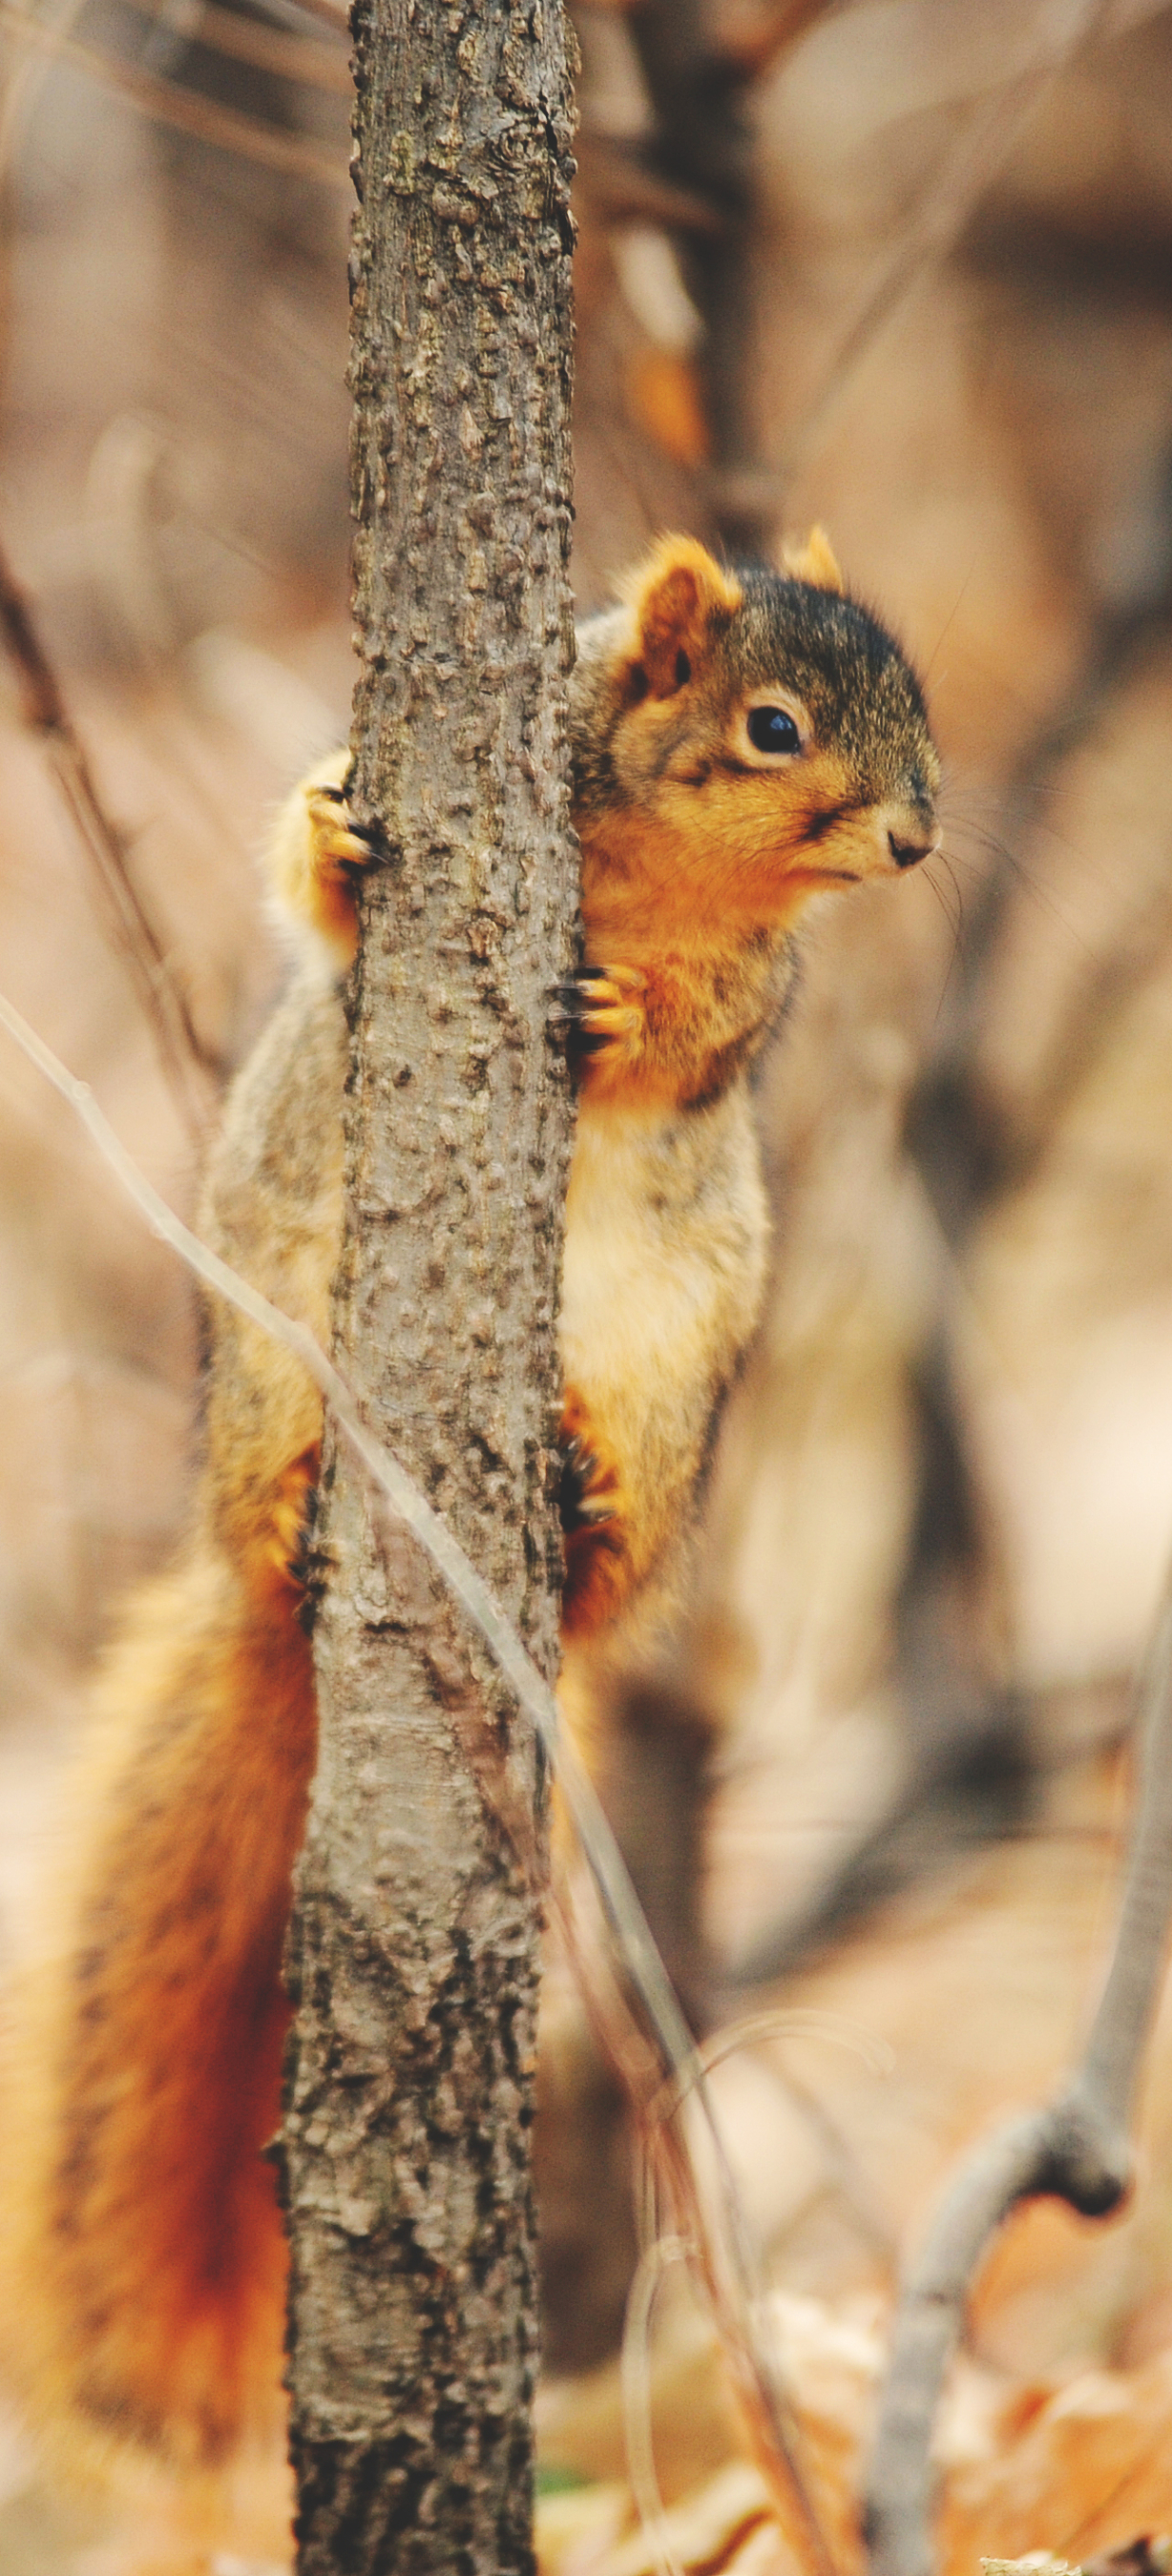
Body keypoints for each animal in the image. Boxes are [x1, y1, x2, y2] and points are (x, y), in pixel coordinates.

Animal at [0, 532, 942, 2483]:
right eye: (775, 725)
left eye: (919, 704)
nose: (915, 837)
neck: (655, 862)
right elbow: (320, 908)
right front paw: (333, 828)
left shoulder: (762, 994)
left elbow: (703, 1033)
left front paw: (629, 1011)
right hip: (271, 1334)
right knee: (259, 1506)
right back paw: (292, 1513)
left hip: (675, 1379)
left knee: (612, 1552)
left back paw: (584, 1503)